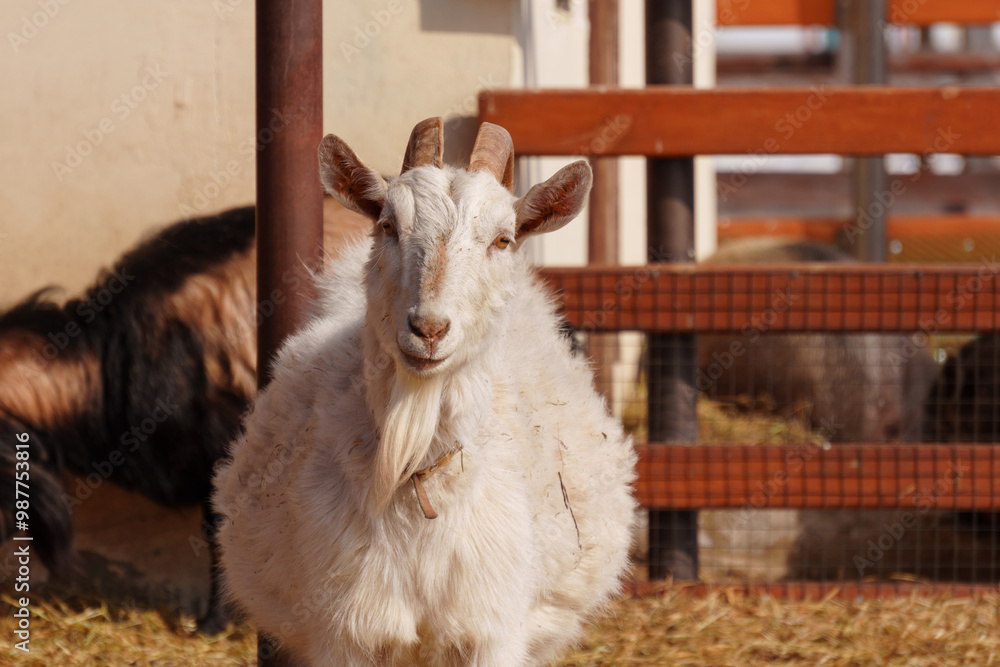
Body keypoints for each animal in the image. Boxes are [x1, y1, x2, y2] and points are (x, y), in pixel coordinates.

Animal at [213, 118, 638, 666]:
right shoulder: (343, 629)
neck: (417, 472)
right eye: (388, 225)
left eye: (503, 239)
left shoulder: (491, 630)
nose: (429, 329)